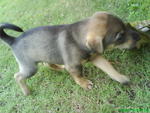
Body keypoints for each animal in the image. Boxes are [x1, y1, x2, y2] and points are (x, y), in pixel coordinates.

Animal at [0, 11, 139, 96]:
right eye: (120, 37)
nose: (138, 37)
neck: (78, 39)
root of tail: (13, 40)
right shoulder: (73, 66)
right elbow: (78, 76)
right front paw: (84, 84)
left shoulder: (96, 57)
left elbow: (109, 69)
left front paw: (122, 79)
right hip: (30, 68)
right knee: (17, 76)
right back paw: (26, 91)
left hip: (47, 55)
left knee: (48, 64)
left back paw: (60, 68)